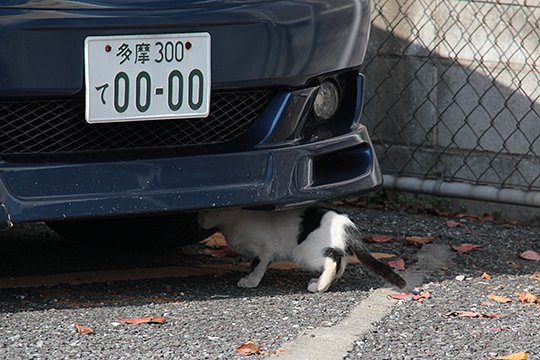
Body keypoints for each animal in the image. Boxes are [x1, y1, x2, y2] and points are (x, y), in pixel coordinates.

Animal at [197, 205, 404, 292]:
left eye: (207, 211)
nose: (198, 219)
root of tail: (345, 223)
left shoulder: (265, 249)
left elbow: (256, 266)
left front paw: (250, 281)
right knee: (340, 263)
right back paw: (323, 282)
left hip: (303, 252)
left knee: (333, 260)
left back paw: (319, 286)